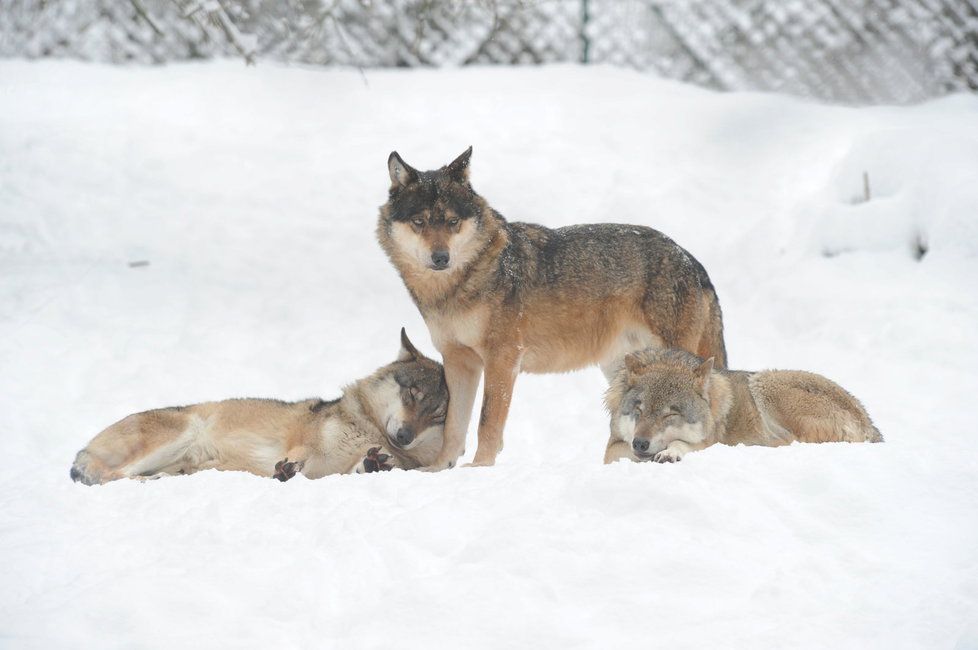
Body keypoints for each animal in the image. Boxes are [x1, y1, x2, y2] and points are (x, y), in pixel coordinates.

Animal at [68, 326, 446, 484]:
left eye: (436, 415)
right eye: (412, 394)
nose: (405, 436)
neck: (367, 428)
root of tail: (83, 448)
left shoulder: (336, 470)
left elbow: (365, 467)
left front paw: (375, 464)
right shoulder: (302, 443)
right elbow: (297, 457)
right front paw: (285, 470)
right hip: (182, 432)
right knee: (111, 476)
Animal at [378, 147, 728, 468]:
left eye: (452, 222)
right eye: (419, 222)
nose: (441, 258)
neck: (461, 284)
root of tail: (693, 262)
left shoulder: (503, 359)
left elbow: (487, 423)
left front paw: (480, 469)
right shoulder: (457, 361)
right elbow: (454, 425)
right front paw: (440, 470)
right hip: (621, 370)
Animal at [608, 346, 880, 464]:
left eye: (670, 415)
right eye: (639, 410)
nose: (640, 443)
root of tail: (869, 424)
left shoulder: (708, 441)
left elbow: (681, 443)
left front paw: (670, 452)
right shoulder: (611, 449)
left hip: (764, 383)